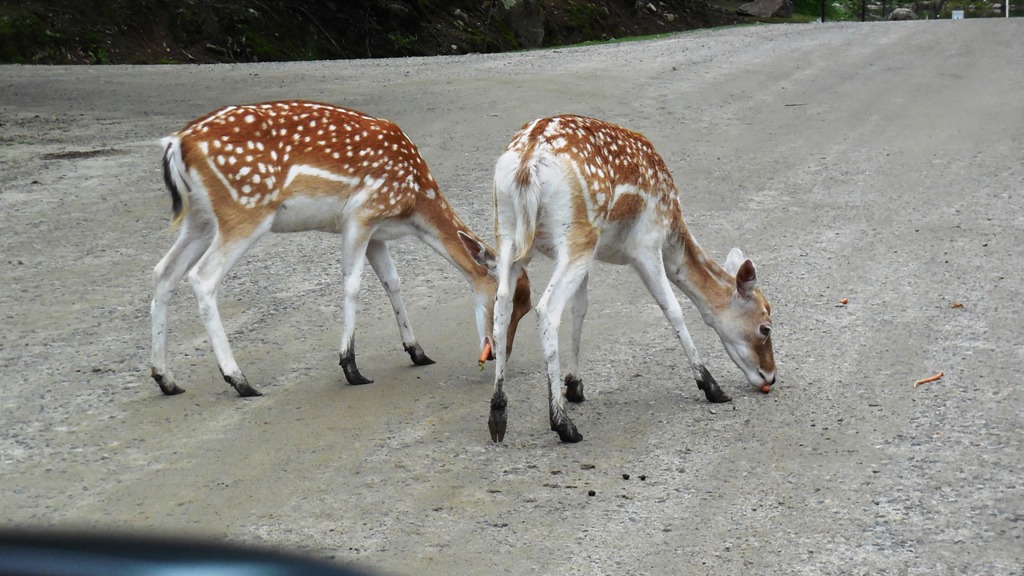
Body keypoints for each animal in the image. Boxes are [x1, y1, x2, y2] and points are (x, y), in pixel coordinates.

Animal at [150, 100, 531, 397]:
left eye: (525, 308)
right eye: (505, 303)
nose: (499, 354)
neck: (414, 204)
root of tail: (177, 143)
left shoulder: (377, 232)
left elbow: (393, 281)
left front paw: (417, 351)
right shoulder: (361, 215)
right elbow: (352, 283)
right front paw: (351, 367)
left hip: (200, 219)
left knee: (163, 272)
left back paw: (166, 379)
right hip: (244, 209)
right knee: (202, 277)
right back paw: (239, 380)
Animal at [488, 115, 776, 443]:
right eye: (765, 328)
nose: (770, 375)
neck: (672, 226)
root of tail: (529, 161)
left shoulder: (594, 256)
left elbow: (580, 309)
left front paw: (575, 386)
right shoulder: (645, 244)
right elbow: (673, 309)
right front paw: (711, 386)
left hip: (508, 230)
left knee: (502, 303)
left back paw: (498, 413)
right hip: (577, 235)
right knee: (547, 309)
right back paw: (563, 425)